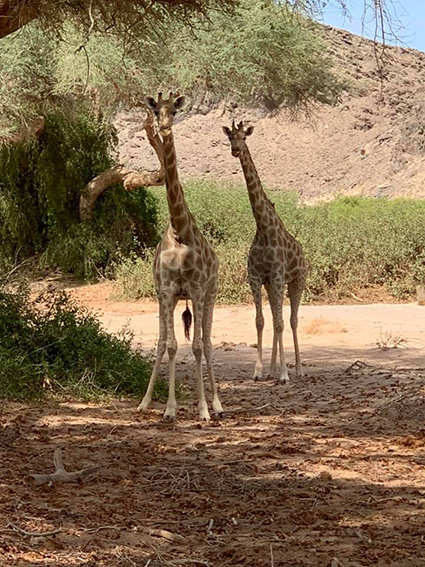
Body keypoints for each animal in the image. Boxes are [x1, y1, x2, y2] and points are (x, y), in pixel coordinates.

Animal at [138, 93, 225, 422]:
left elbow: (198, 346)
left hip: (211, 294)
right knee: (163, 341)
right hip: (170, 299)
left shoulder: (198, 289)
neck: (179, 230)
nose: (164, 127)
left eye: (174, 110)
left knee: (209, 343)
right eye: (155, 110)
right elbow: (171, 345)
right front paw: (169, 409)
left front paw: (202, 409)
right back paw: (145, 402)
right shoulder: (165, 290)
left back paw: (218, 405)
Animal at [222, 121, 304, 384]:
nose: (235, 150)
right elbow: (261, 321)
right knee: (277, 317)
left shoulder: (278, 277)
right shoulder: (257, 277)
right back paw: (271, 370)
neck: (263, 227)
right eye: (230, 137)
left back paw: (298, 369)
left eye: (244, 137)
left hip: (297, 281)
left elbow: (280, 323)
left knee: (292, 320)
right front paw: (259, 371)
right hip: (272, 285)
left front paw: (285, 374)